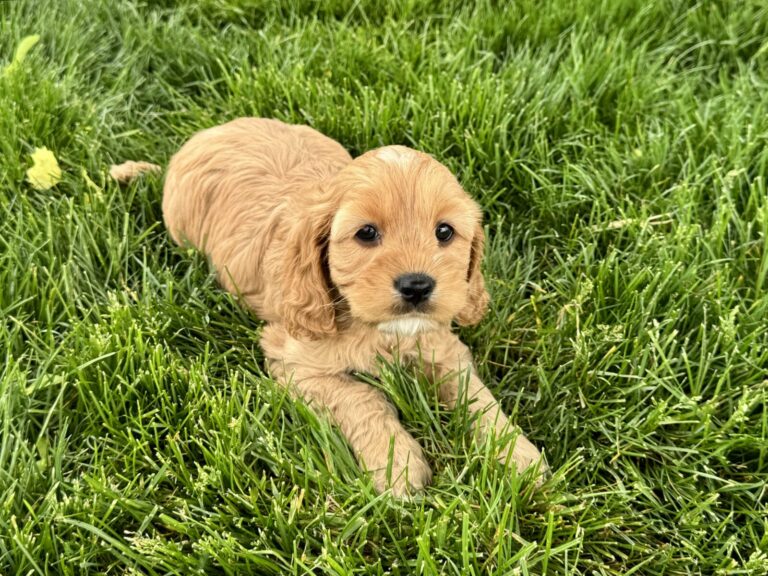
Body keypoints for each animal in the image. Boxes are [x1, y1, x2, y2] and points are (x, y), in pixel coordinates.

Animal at [158, 117, 545, 495]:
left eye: (445, 231)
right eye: (366, 233)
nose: (417, 286)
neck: (384, 332)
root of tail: (211, 131)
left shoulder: (443, 346)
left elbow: (473, 394)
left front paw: (516, 453)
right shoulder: (296, 361)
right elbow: (362, 396)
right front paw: (397, 465)